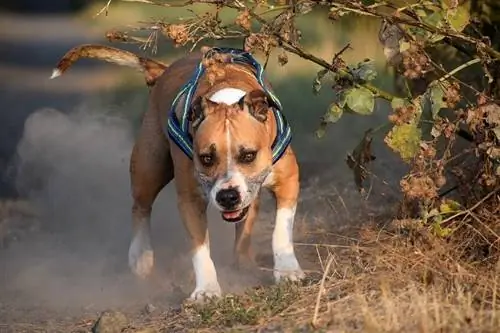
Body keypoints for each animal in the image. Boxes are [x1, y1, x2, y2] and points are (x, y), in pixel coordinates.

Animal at [52, 44, 306, 300]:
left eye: (248, 155)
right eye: (206, 158)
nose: (227, 196)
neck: (225, 98)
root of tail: (163, 70)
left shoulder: (288, 180)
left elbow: (281, 230)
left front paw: (287, 270)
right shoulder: (190, 200)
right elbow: (200, 248)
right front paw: (207, 289)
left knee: (246, 220)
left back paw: (243, 262)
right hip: (149, 166)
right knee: (141, 207)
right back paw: (140, 257)